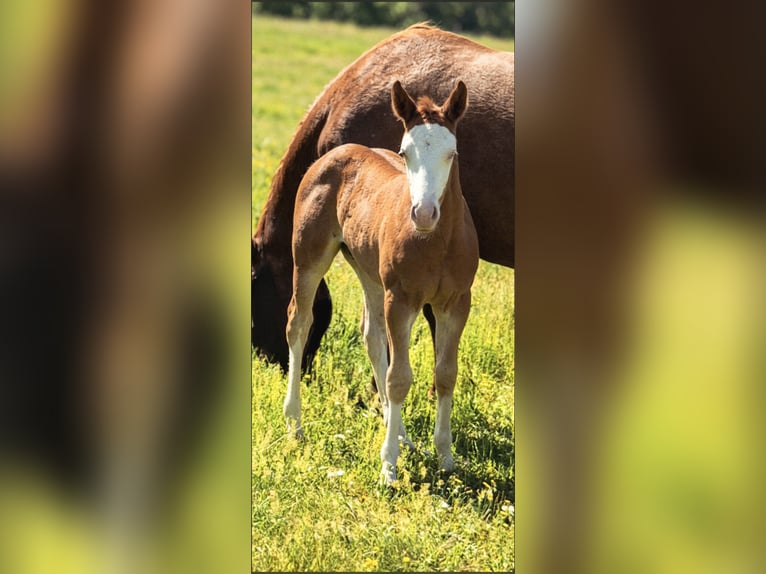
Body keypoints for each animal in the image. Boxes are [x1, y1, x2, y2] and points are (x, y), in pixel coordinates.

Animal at [283, 80, 479, 484]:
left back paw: (400, 432)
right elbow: (399, 377)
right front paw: (388, 466)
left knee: (372, 336)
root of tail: (337, 152)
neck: (437, 241)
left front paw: (445, 456)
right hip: (309, 257)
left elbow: (445, 374)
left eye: (451, 153)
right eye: (405, 152)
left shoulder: (456, 302)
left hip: (368, 271)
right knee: (299, 323)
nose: (423, 213)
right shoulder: (401, 300)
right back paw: (295, 423)